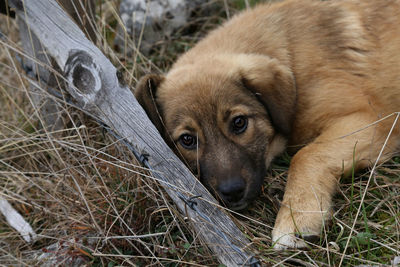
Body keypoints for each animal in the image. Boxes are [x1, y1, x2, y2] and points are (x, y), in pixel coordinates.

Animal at [134, 0, 400, 250]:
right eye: (188, 140)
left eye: (239, 123)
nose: (232, 192)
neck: (291, 54)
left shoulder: (372, 119)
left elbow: (306, 155)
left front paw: (296, 218)